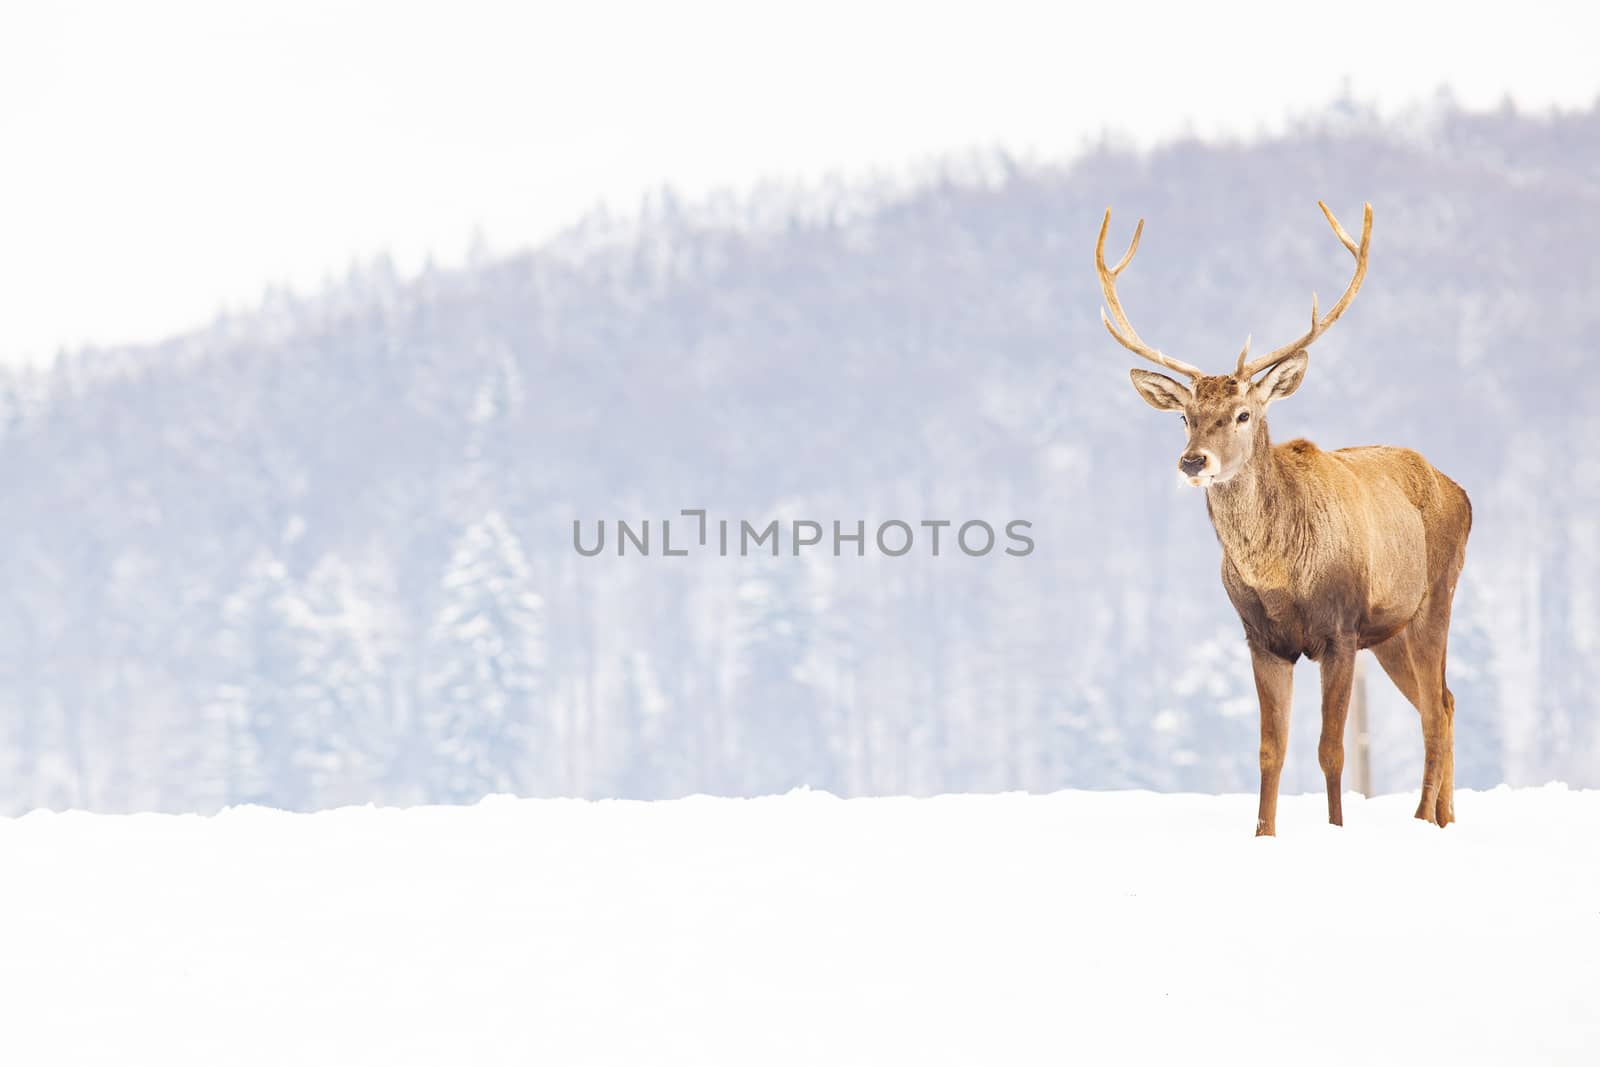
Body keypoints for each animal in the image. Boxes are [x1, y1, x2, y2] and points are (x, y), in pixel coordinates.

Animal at [1100, 199, 1472, 831]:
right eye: (1184, 417)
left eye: (1244, 413)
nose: (1193, 460)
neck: (1278, 577)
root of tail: (1463, 492)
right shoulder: (1261, 638)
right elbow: (1270, 749)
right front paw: (1264, 834)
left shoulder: (1340, 630)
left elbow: (1332, 749)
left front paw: (1336, 829)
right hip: (1390, 633)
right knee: (1443, 701)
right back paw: (1445, 817)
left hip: (1434, 598)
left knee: (1433, 709)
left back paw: (1424, 818)